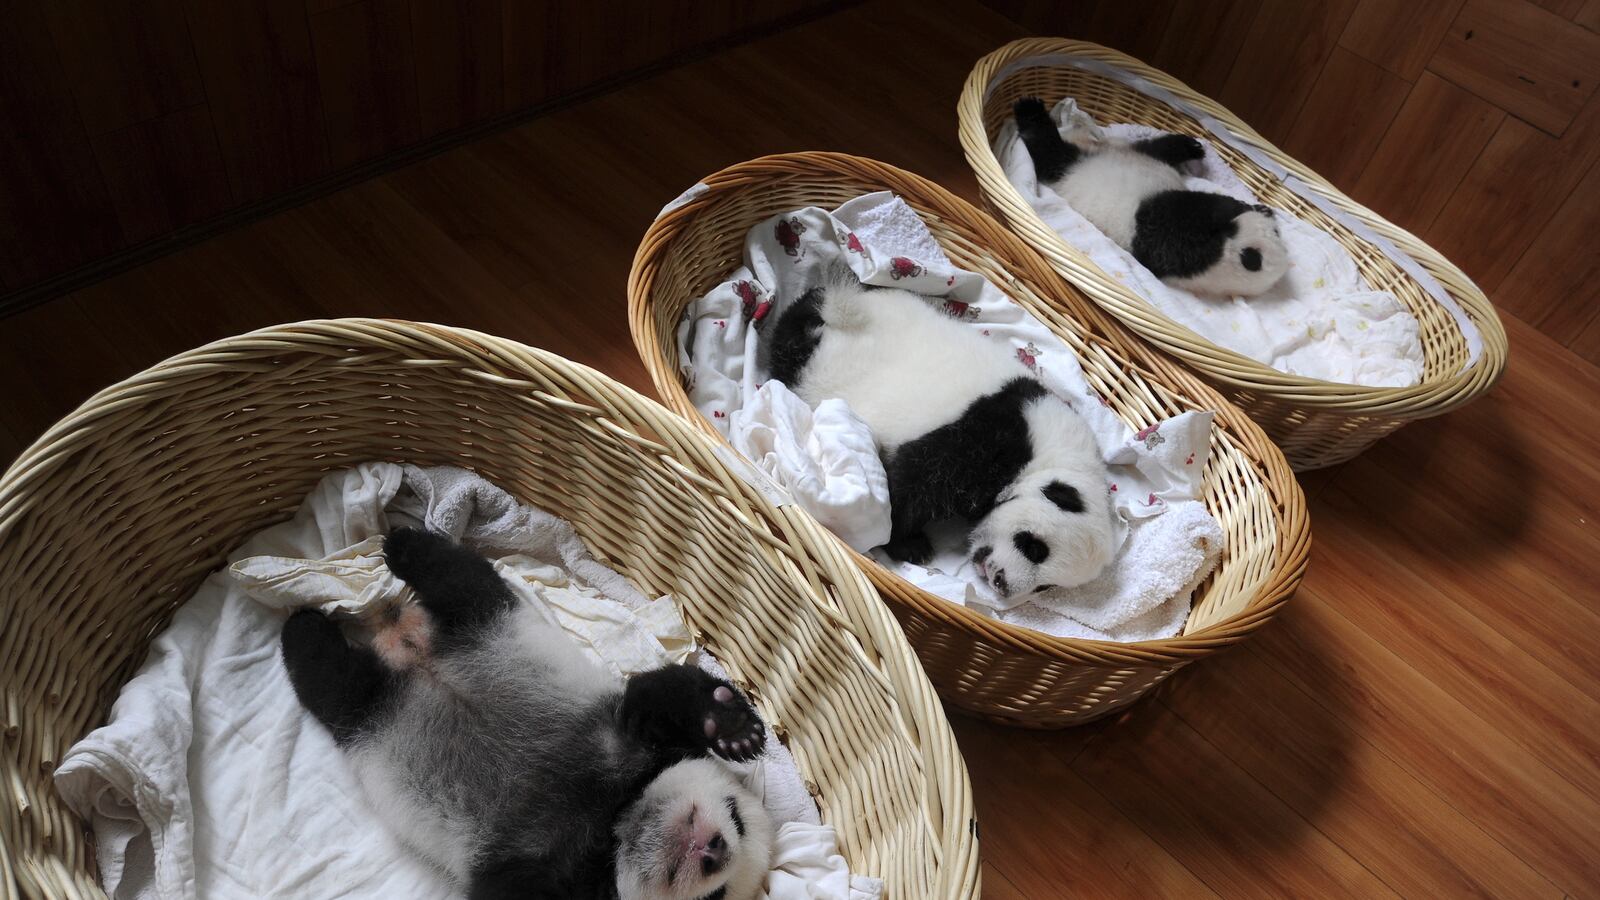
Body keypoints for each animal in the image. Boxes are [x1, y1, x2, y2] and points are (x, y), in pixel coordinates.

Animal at [280, 527, 774, 900]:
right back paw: (397, 548)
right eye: (735, 814)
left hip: (375, 704)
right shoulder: (623, 738)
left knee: (336, 683)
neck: (617, 819)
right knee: (461, 576)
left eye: (716, 897)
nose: (716, 850)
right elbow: (655, 696)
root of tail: (403, 645)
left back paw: (307, 626)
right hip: (487, 623)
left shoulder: (547, 870)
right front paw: (732, 725)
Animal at [767, 270, 1115, 599]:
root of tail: (828, 308)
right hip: (817, 363)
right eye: (1033, 547)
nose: (1001, 582)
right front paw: (907, 543)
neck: (1054, 458)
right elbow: (917, 481)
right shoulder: (989, 437)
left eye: (1045, 587)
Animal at [1013, 96, 1289, 298]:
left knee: (1050, 152)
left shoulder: (1168, 237)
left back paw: (1030, 109)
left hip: (1073, 168)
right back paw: (1190, 147)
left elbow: (1195, 210)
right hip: (1132, 154)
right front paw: (1241, 205)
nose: (1268, 211)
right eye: (1277, 231)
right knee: (1153, 149)